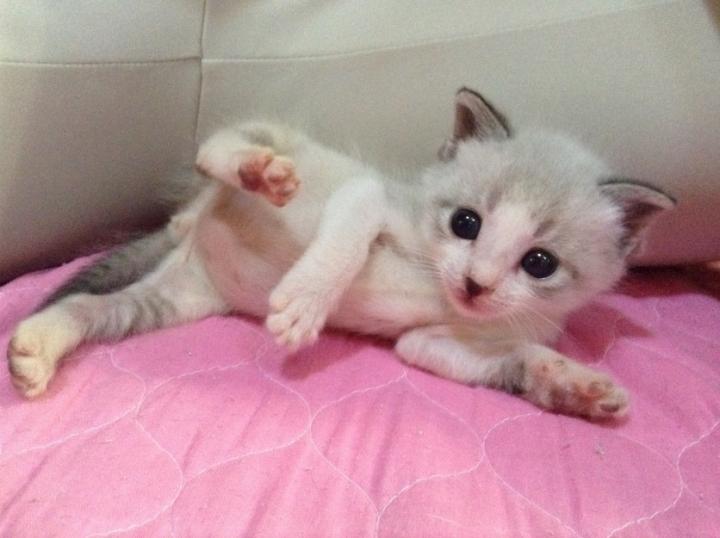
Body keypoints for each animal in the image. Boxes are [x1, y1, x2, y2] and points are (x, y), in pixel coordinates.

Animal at [6, 88, 676, 419]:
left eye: (540, 263)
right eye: (465, 223)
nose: (477, 284)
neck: (437, 282)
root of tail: (191, 222)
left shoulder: (435, 340)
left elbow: (496, 358)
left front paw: (574, 388)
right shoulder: (372, 192)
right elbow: (349, 231)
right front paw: (304, 304)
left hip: (174, 300)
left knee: (94, 309)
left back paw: (37, 345)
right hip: (269, 144)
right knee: (214, 147)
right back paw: (255, 170)